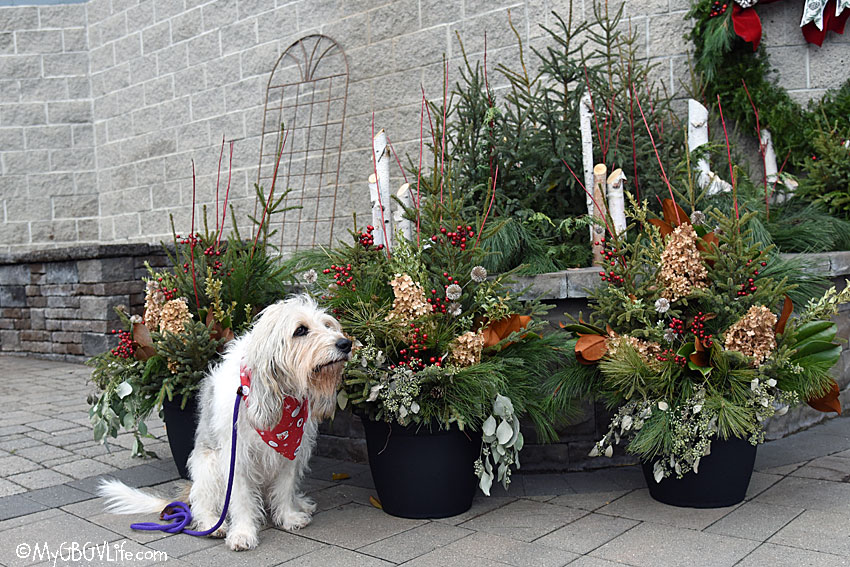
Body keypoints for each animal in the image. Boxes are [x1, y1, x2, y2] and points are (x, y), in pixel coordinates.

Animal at [97, 296, 350, 552]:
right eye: (301, 330)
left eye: (327, 325)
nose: (345, 343)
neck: (280, 397)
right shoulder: (236, 456)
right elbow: (240, 498)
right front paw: (243, 533)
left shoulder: (291, 453)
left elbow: (285, 488)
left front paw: (289, 516)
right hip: (208, 466)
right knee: (202, 504)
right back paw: (212, 525)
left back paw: (300, 503)